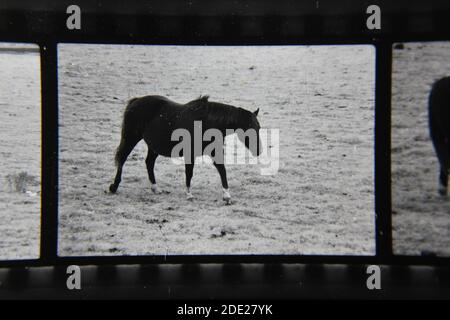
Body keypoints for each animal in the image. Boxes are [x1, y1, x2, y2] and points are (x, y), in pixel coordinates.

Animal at [109, 94, 262, 202]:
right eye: (249, 128)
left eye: (258, 127)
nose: (259, 150)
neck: (206, 123)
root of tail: (136, 100)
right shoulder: (190, 154)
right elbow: (189, 173)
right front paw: (189, 195)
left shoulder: (215, 152)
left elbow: (222, 171)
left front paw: (227, 196)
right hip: (130, 138)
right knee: (122, 158)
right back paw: (114, 187)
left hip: (153, 146)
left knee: (149, 163)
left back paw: (155, 188)